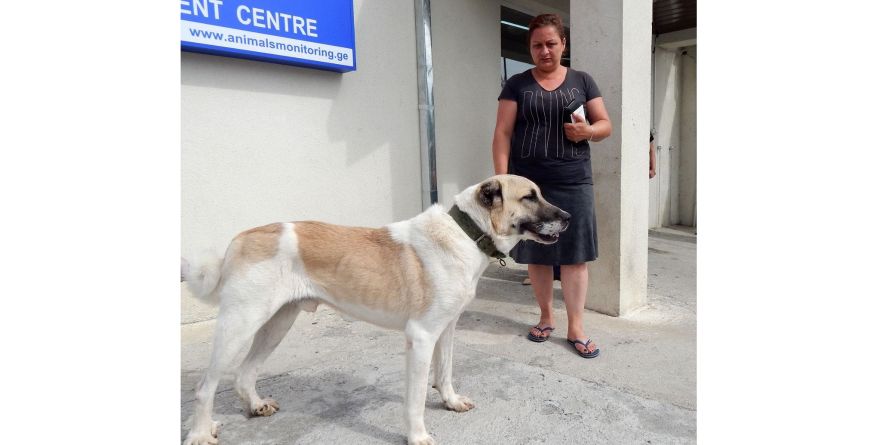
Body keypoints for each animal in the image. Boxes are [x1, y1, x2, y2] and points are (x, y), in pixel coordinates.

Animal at [182, 173, 568, 444]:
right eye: (529, 196)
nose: (568, 216)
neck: (467, 233)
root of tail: (242, 237)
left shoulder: (447, 329)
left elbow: (444, 373)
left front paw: (450, 401)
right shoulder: (421, 337)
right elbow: (415, 398)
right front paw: (417, 436)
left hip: (277, 323)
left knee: (244, 373)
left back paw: (255, 406)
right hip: (240, 324)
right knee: (205, 386)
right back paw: (200, 433)